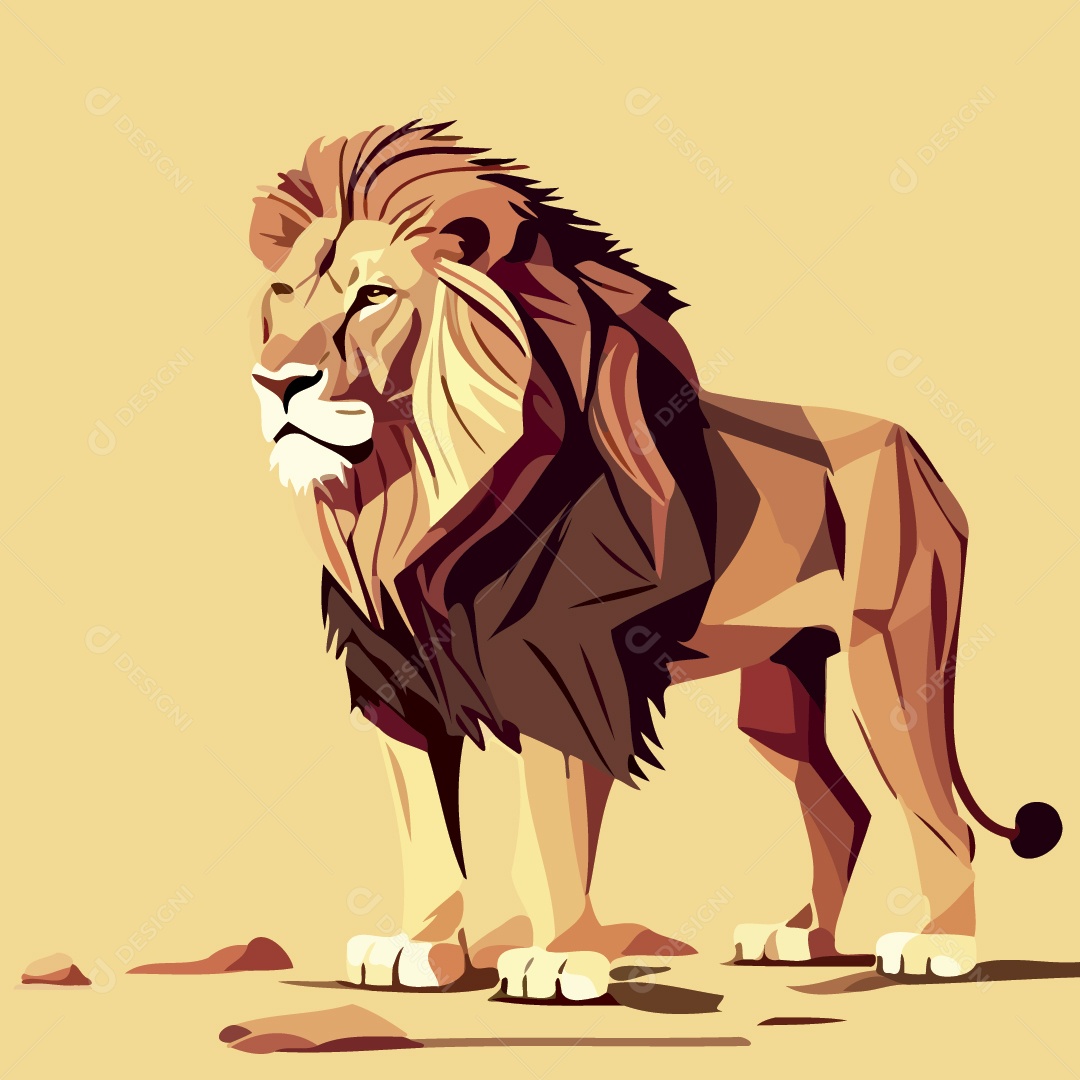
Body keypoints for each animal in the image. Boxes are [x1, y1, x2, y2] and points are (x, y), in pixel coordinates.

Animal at [248, 120, 1061, 998]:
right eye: (285, 296)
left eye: (373, 297)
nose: (275, 382)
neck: (412, 504)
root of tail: (916, 450)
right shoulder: (397, 683)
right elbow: (427, 835)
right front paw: (415, 950)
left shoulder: (565, 670)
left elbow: (552, 832)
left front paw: (560, 960)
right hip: (779, 682)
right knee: (842, 805)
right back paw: (801, 938)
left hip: (894, 661)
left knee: (936, 814)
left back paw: (939, 946)